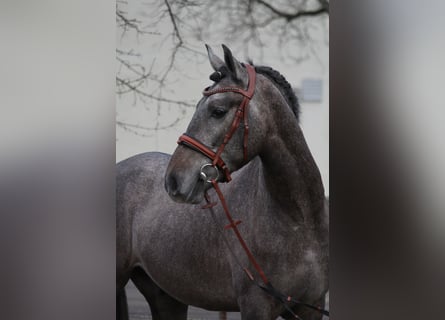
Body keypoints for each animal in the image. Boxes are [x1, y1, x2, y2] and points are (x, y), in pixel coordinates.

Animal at [116, 45, 328, 320]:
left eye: (218, 111)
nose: (173, 180)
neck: (299, 219)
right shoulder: (256, 306)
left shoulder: (311, 306)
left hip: (165, 297)